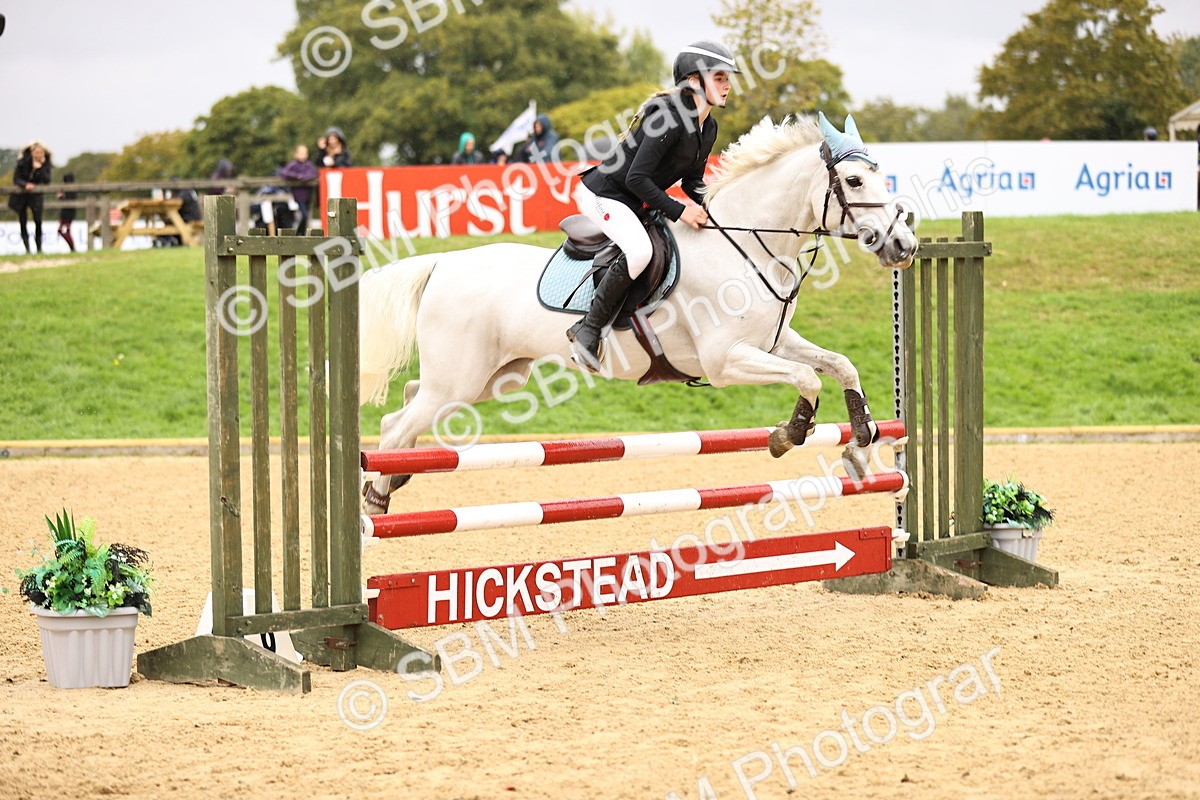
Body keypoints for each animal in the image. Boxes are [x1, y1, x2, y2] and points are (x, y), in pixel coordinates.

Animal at [358, 114, 918, 514]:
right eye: (853, 180)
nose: (905, 246)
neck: (746, 246)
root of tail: (443, 263)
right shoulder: (725, 361)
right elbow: (808, 379)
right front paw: (788, 435)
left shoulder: (773, 343)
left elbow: (839, 366)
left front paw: (860, 446)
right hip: (459, 380)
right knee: (396, 425)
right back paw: (376, 498)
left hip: (490, 379)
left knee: (406, 406)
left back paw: (396, 475)